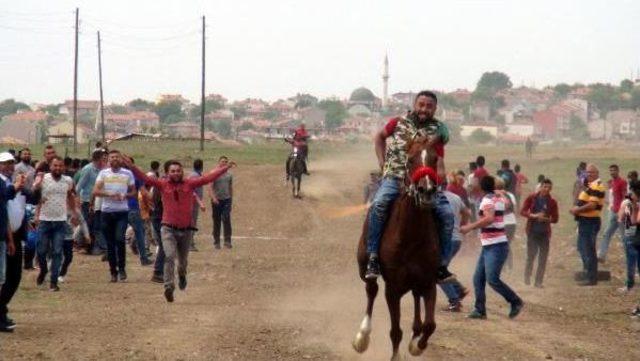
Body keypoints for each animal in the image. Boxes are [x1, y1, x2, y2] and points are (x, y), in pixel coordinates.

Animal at [352, 137, 442, 360]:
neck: (412, 236)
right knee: (371, 290)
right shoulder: (392, 288)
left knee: (416, 299)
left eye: (435, 159)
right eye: (410, 160)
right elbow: (395, 331)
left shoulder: (428, 281)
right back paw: (362, 337)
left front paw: (417, 345)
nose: (426, 190)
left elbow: (430, 324)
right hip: (365, 268)